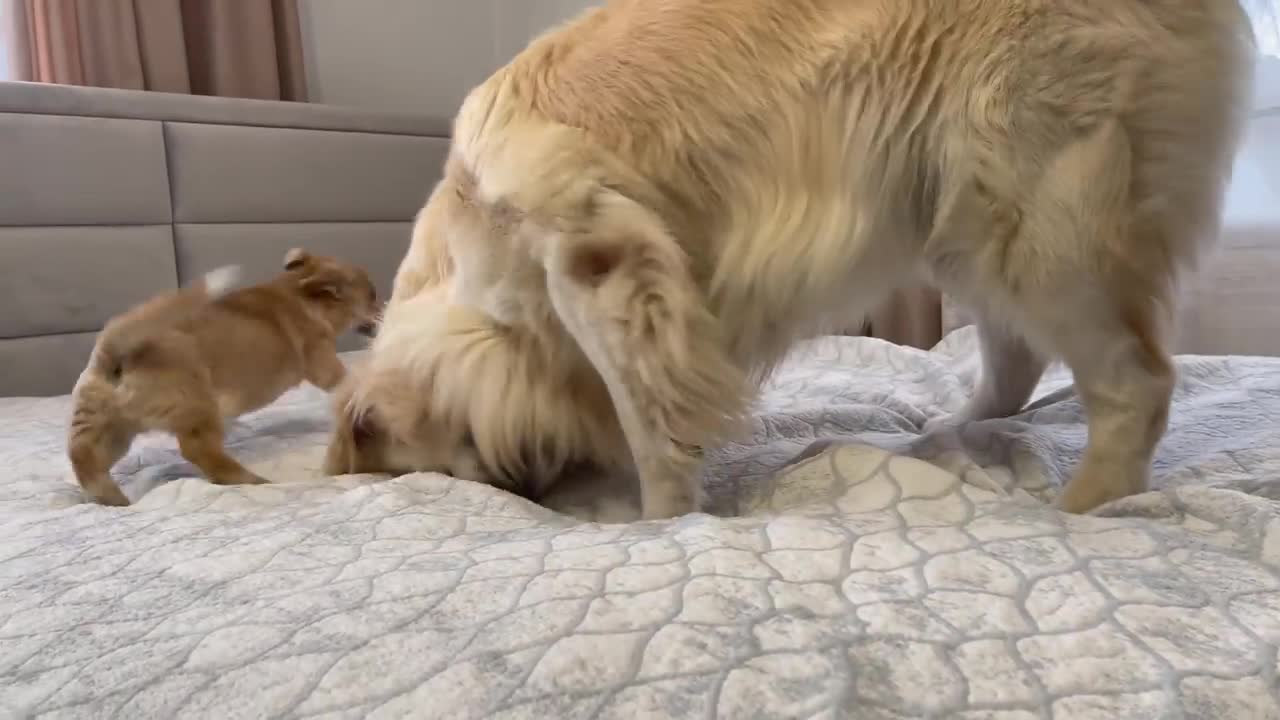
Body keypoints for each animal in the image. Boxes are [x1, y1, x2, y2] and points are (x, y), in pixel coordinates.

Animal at [68, 248, 378, 504]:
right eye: (373, 297)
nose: (384, 309)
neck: (297, 292)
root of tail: (115, 354)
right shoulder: (324, 364)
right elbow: (346, 378)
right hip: (198, 407)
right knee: (200, 451)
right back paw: (251, 480)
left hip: (110, 430)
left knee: (85, 459)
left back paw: (110, 498)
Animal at [327, 0, 1249, 515]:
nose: (523, 493)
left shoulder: (600, 261)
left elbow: (648, 424)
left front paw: (658, 523)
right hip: (962, 217)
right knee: (1018, 362)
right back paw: (955, 429)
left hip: (1033, 221)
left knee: (1136, 384)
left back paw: (1082, 508)